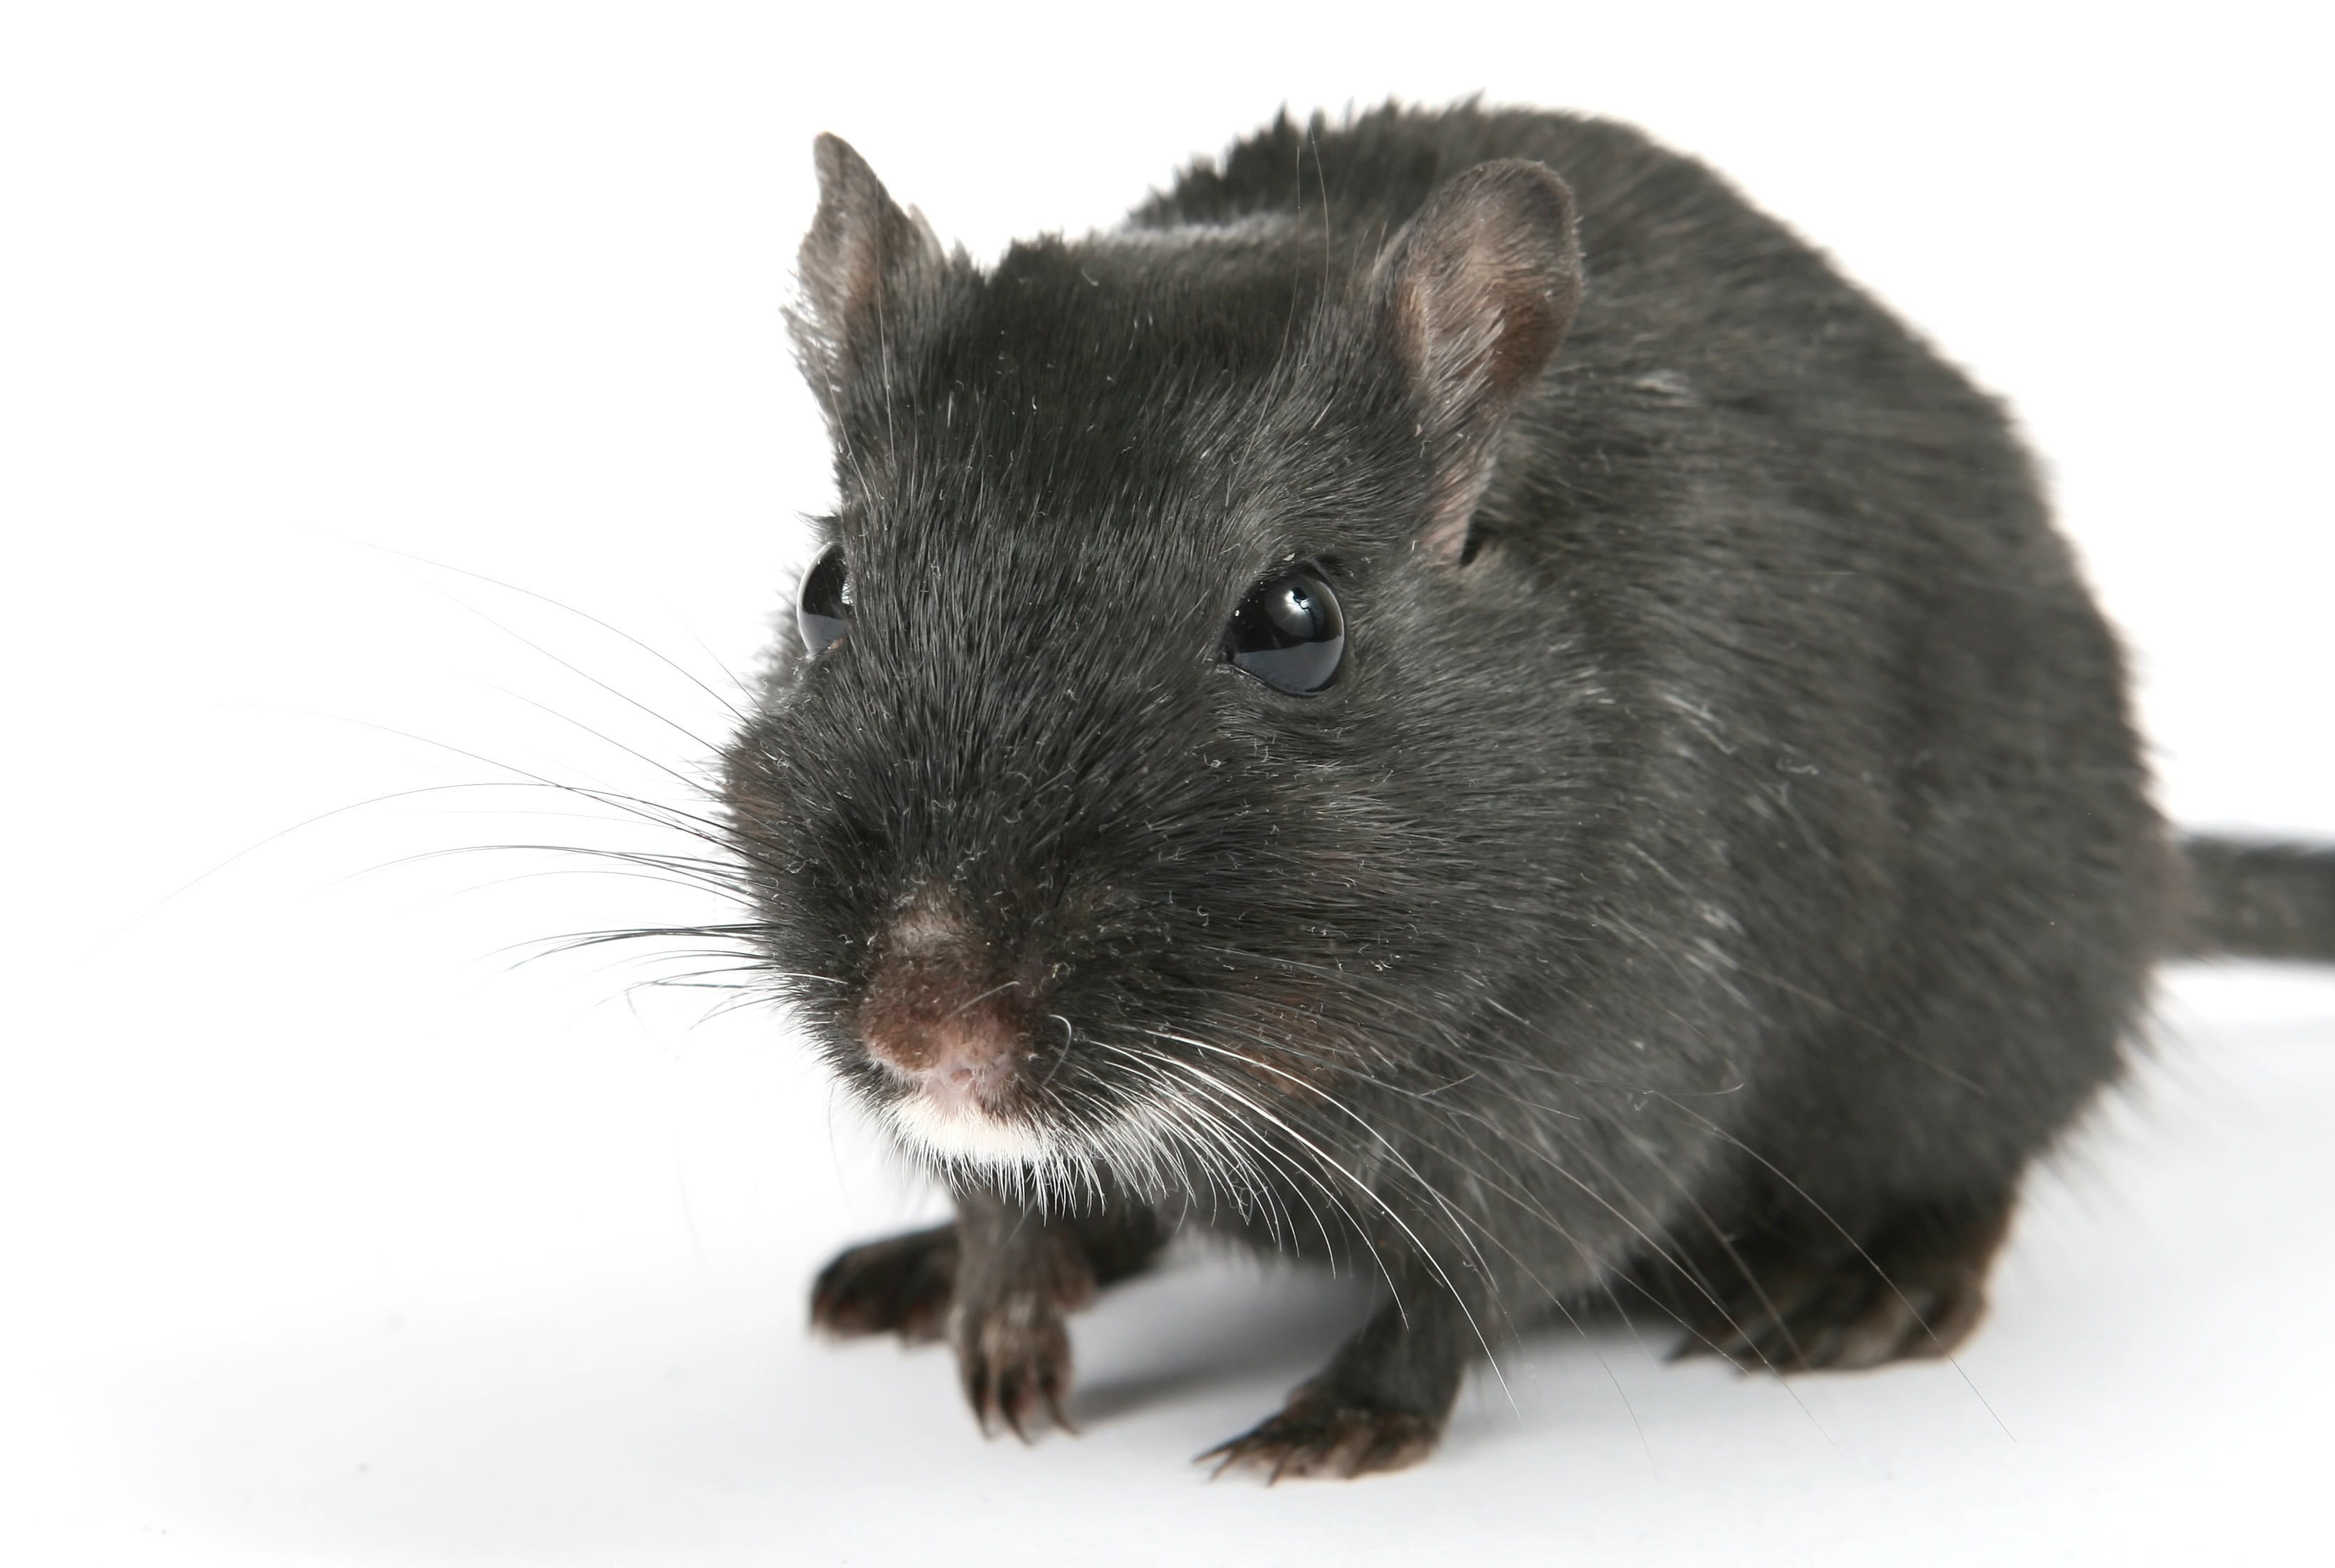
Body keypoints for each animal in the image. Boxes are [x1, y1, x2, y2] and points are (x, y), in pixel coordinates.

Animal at [718, 102, 2335, 1479]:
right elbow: (1001, 1188)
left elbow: (1475, 1270)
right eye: (825, 588)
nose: (922, 1030)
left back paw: (1856, 1288)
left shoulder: (1616, 1059)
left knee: (1986, 1160)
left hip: (2001, 991)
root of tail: (2159, 873)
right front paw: (995, 1311)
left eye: (1297, 623)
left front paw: (1332, 1425)